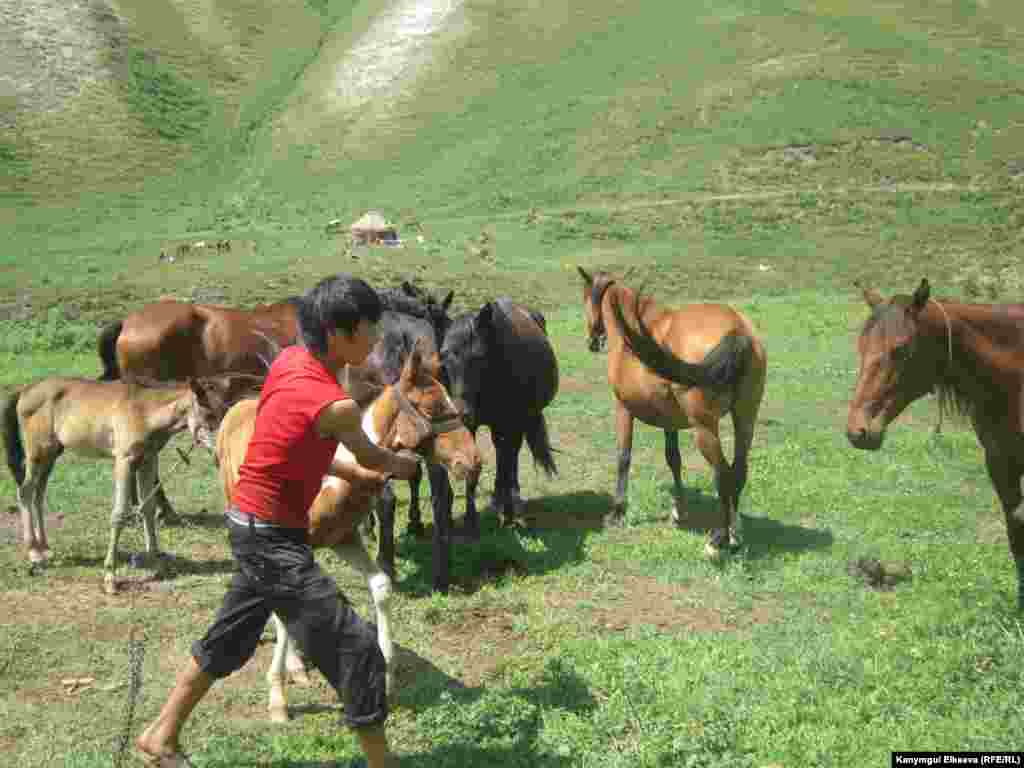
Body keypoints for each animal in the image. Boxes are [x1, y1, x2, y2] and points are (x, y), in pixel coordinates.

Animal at [3, 376, 260, 593]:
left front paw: (156, 562)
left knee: (38, 492)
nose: (219, 451)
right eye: (206, 413)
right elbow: (119, 514)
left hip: (53, 452)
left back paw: (44, 547)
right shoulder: (124, 460)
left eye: (223, 411)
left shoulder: (148, 460)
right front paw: (110, 577)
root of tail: (24, 389)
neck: (146, 412)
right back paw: (34, 552)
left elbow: (148, 508)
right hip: (38, 451)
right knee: (26, 491)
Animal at [216, 342, 479, 720]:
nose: (472, 461)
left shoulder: (344, 539)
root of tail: (238, 406)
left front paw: (387, 678)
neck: (337, 478)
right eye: (434, 406)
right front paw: (278, 700)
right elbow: (282, 611)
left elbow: (381, 585)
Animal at [432, 296, 561, 536]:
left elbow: (507, 462)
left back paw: (510, 500)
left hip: (517, 421)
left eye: (479, 357)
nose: (461, 412)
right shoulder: (473, 426)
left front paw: (509, 511)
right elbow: (473, 469)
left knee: (510, 457)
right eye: (443, 355)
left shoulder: (510, 422)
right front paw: (471, 520)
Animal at [577, 268, 770, 557]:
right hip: (745, 418)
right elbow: (673, 460)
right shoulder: (670, 421)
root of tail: (737, 330)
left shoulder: (623, 408)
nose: (592, 341)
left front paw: (618, 511)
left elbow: (624, 456)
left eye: (586, 298)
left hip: (704, 428)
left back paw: (718, 539)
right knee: (738, 471)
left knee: (723, 474)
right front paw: (678, 511)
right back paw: (735, 534)